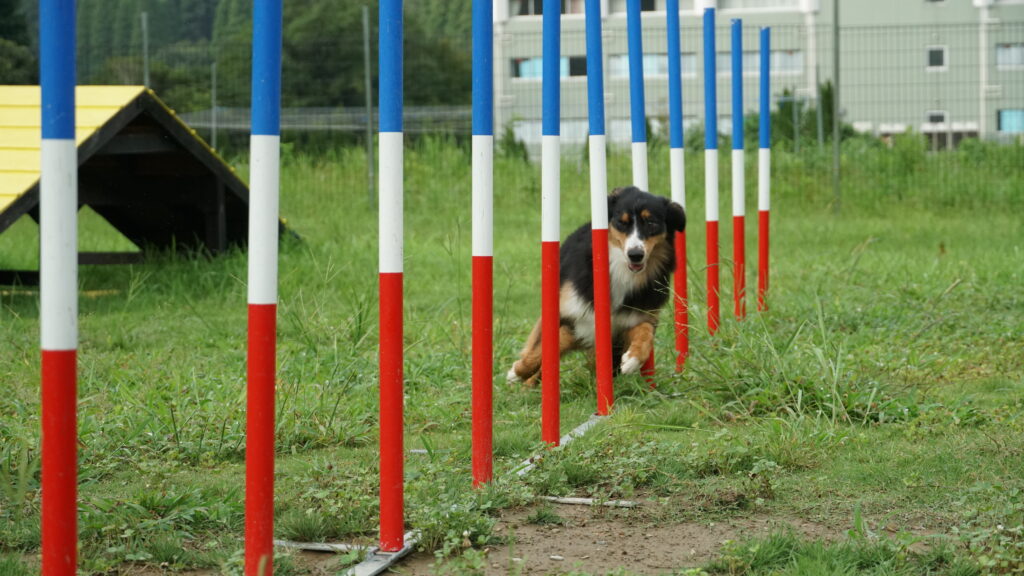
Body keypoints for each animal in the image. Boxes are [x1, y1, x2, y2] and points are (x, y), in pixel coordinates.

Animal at [505, 187, 684, 385]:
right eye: (622, 223)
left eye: (652, 223)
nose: (635, 255)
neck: (622, 272)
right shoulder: (571, 315)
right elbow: (543, 348)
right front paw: (517, 371)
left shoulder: (633, 318)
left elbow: (645, 332)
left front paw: (633, 359)